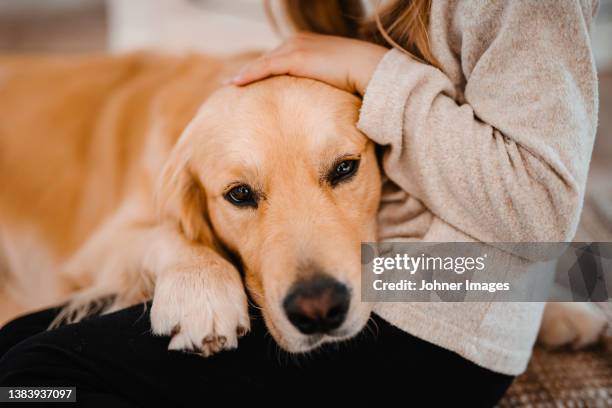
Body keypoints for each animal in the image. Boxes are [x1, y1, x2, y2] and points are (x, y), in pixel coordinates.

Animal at [0, 51, 604, 354]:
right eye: (239, 195)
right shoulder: (94, 247)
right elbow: (168, 232)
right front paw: (201, 293)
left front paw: (563, 313)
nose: (319, 310)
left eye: (345, 168)